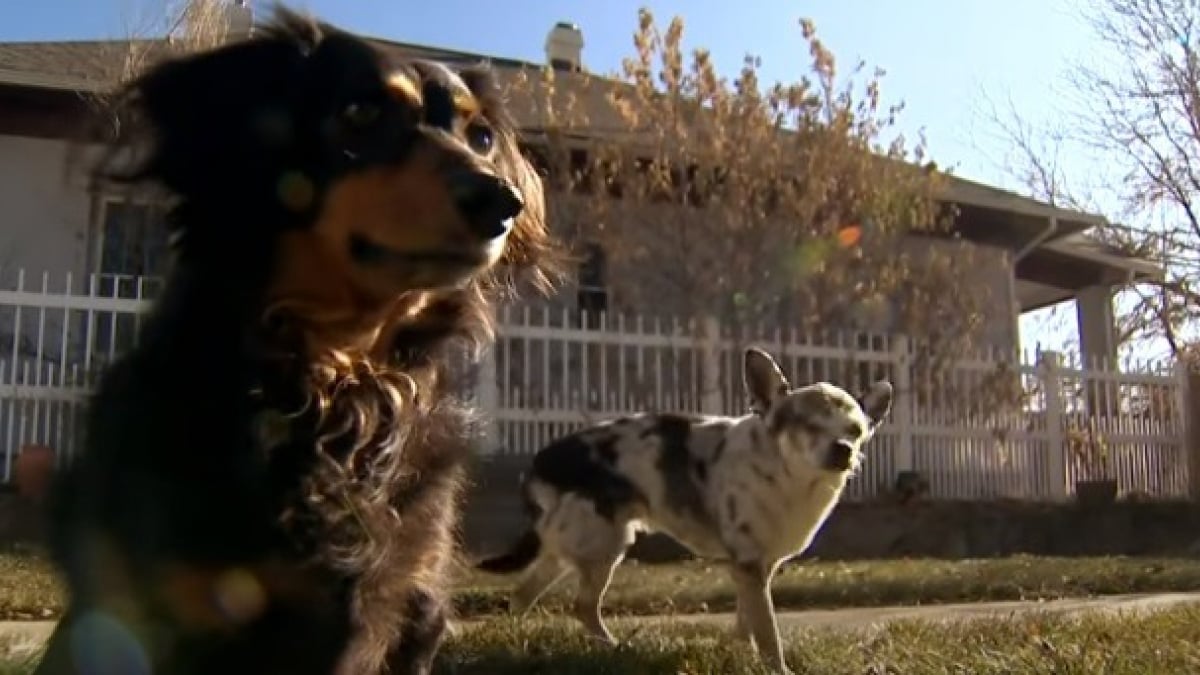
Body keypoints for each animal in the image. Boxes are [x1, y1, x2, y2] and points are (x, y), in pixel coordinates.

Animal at [475, 345, 892, 672]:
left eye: (856, 431)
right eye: (808, 425)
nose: (843, 450)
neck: (788, 474)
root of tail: (538, 464)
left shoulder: (755, 569)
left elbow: (746, 621)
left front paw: (738, 654)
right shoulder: (750, 565)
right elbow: (767, 630)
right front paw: (775, 668)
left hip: (571, 548)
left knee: (523, 594)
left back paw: (516, 641)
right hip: (602, 544)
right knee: (581, 606)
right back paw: (615, 649)